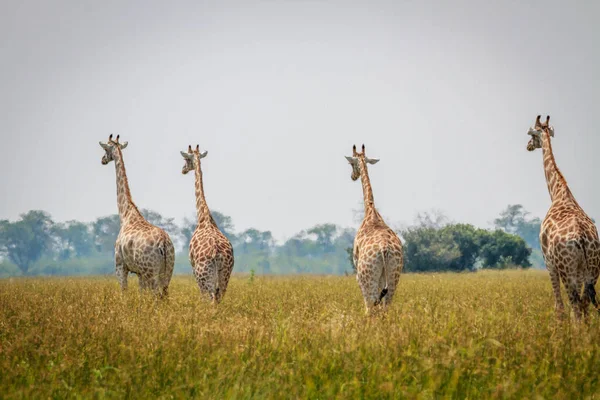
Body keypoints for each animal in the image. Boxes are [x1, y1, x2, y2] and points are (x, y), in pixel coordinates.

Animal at [99, 134, 175, 296]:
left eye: (105, 148)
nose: (102, 160)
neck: (125, 214)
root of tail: (164, 244)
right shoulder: (139, 272)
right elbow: (141, 294)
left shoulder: (120, 265)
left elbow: (124, 291)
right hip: (167, 270)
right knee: (164, 294)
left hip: (151, 271)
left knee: (156, 295)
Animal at [179, 144, 233, 304]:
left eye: (186, 159)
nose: (183, 170)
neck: (204, 218)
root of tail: (217, 255)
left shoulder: (192, 266)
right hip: (224, 276)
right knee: (219, 298)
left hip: (204, 276)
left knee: (210, 299)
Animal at [346, 145, 404, 316]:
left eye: (351, 163)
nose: (353, 176)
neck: (371, 212)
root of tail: (384, 250)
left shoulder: (356, 266)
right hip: (393, 276)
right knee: (385, 306)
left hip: (367, 277)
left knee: (369, 306)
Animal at [524, 115, 600, 318]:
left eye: (532, 134)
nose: (528, 146)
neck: (558, 193)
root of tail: (582, 239)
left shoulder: (548, 262)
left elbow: (559, 307)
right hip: (592, 271)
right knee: (584, 304)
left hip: (567, 270)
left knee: (575, 305)